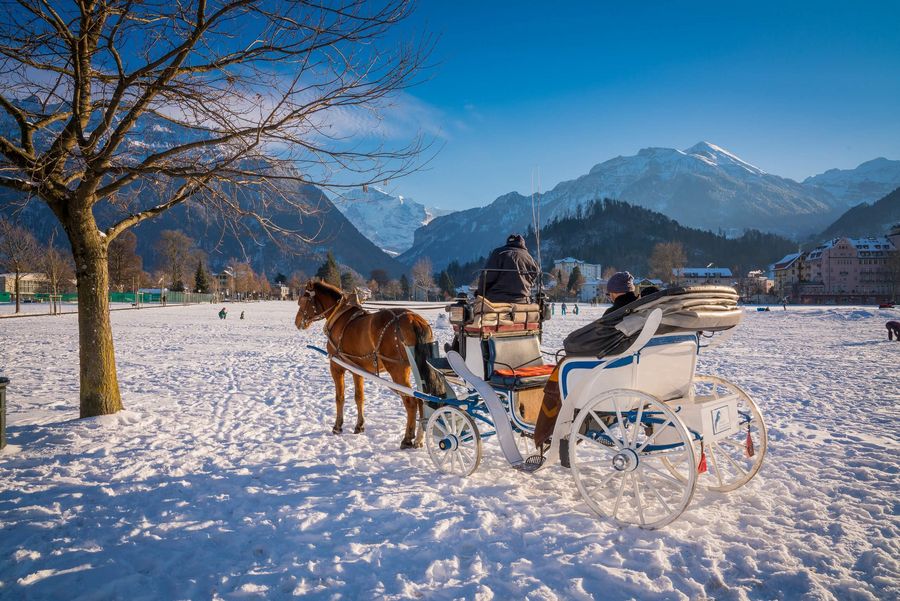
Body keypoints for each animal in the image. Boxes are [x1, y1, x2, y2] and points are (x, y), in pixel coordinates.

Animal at [296, 278, 446, 448]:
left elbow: (340, 397)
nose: (297, 322)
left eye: (302, 300)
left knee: (411, 401)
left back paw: (407, 438)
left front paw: (337, 426)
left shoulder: (336, 367)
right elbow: (359, 397)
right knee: (422, 399)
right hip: (415, 368)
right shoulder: (357, 369)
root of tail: (415, 320)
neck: (339, 316)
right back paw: (419, 438)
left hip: (397, 369)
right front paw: (359, 425)